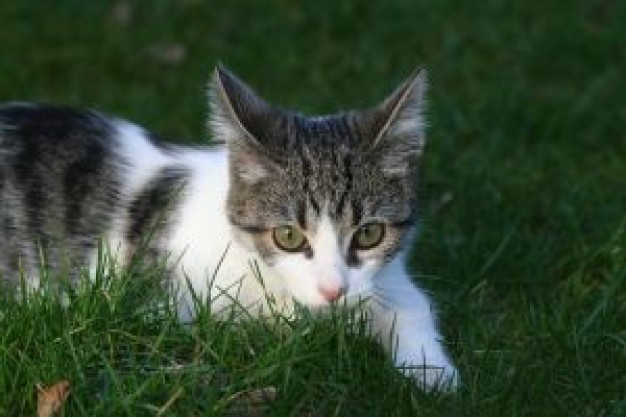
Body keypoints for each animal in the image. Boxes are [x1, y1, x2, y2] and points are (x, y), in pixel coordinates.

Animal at [1, 66, 458, 390]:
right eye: (288, 236)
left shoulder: (386, 275)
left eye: (368, 234)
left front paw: (432, 373)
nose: (333, 291)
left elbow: (410, 303)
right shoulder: (159, 304)